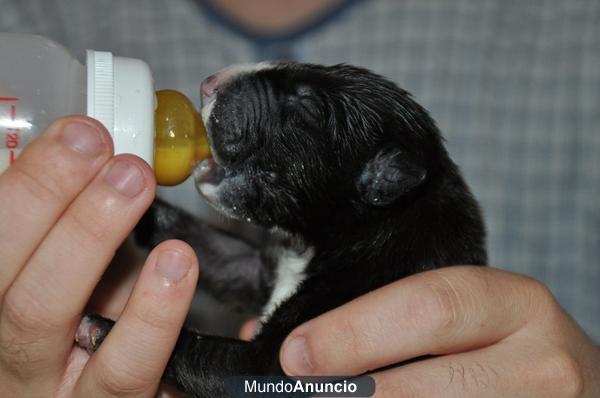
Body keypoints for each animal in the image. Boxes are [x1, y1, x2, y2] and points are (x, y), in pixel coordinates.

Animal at [75, 62, 488, 398]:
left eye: (309, 107)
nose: (209, 84)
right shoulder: (260, 268)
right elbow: (220, 255)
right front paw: (144, 208)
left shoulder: (273, 364)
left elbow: (205, 353)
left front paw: (99, 327)